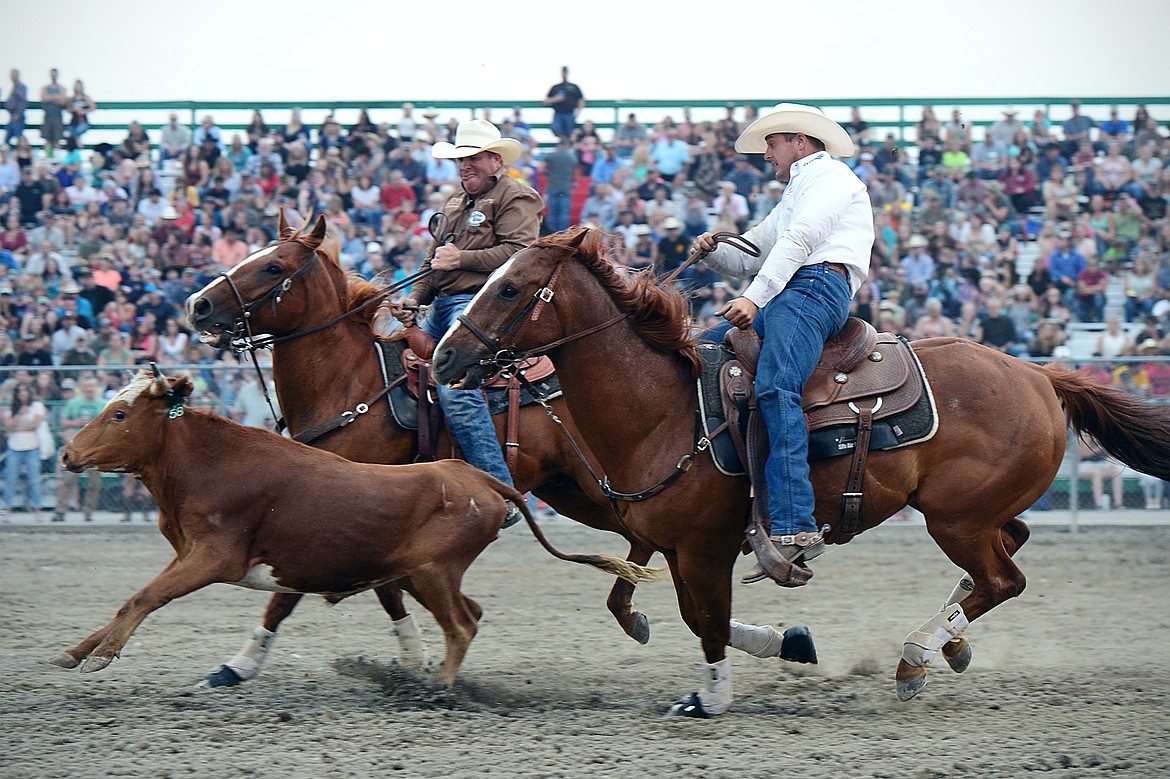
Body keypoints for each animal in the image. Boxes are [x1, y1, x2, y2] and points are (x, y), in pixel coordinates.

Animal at [189, 212, 814, 687]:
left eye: (272, 265)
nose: (197, 305)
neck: (354, 384)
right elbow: (377, 585)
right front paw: (412, 655)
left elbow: (308, 591)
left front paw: (240, 665)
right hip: (583, 494)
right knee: (650, 553)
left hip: (596, 492)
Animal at [435, 225, 1170, 715]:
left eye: (510, 287)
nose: (443, 357)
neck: (664, 408)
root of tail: (1040, 374)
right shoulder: (671, 545)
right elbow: (674, 611)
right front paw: (786, 643)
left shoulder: (702, 549)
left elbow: (705, 621)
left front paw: (713, 697)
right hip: (974, 511)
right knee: (1007, 553)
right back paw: (948, 645)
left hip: (955, 518)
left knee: (1003, 578)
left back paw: (916, 656)